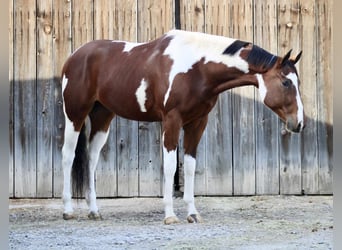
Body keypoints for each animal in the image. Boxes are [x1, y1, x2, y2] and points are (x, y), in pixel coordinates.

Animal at [60, 29, 304, 225]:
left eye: (297, 82)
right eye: (285, 82)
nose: (299, 123)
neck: (197, 68)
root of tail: (75, 56)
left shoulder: (197, 123)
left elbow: (189, 167)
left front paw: (193, 214)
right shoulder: (172, 121)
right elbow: (170, 167)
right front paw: (170, 215)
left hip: (103, 117)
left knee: (91, 159)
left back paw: (94, 211)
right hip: (75, 114)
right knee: (68, 156)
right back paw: (68, 211)